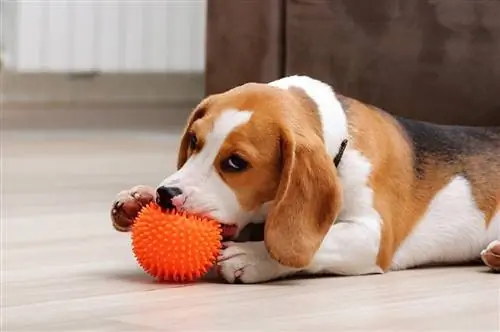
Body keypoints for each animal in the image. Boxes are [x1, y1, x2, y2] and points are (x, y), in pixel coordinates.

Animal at [110, 75, 500, 282]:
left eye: (236, 163)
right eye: (193, 140)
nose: (166, 194)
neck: (340, 138)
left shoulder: (374, 236)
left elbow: (318, 241)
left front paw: (253, 257)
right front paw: (137, 199)